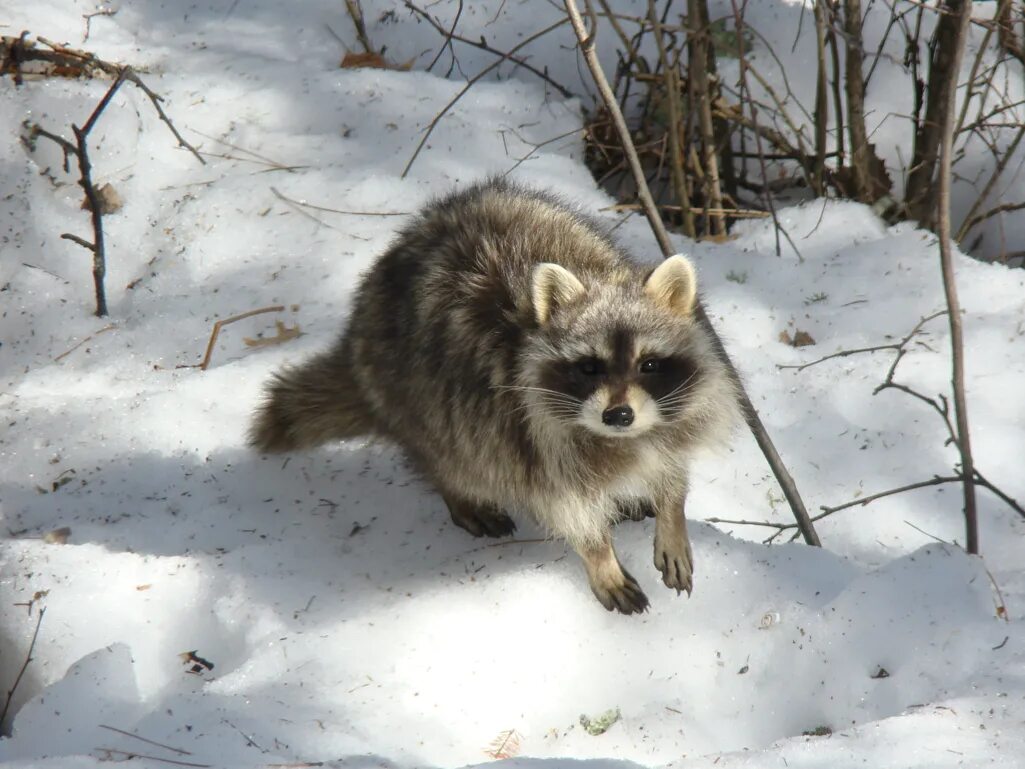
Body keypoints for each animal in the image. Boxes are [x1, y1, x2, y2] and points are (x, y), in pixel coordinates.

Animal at [252, 179, 742, 615]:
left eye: (649, 365)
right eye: (589, 367)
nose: (618, 415)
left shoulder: (670, 416)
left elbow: (670, 459)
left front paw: (672, 509)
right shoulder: (526, 434)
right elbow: (565, 505)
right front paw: (600, 555)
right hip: (415, 393)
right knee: (451, 452)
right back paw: (459, 492)